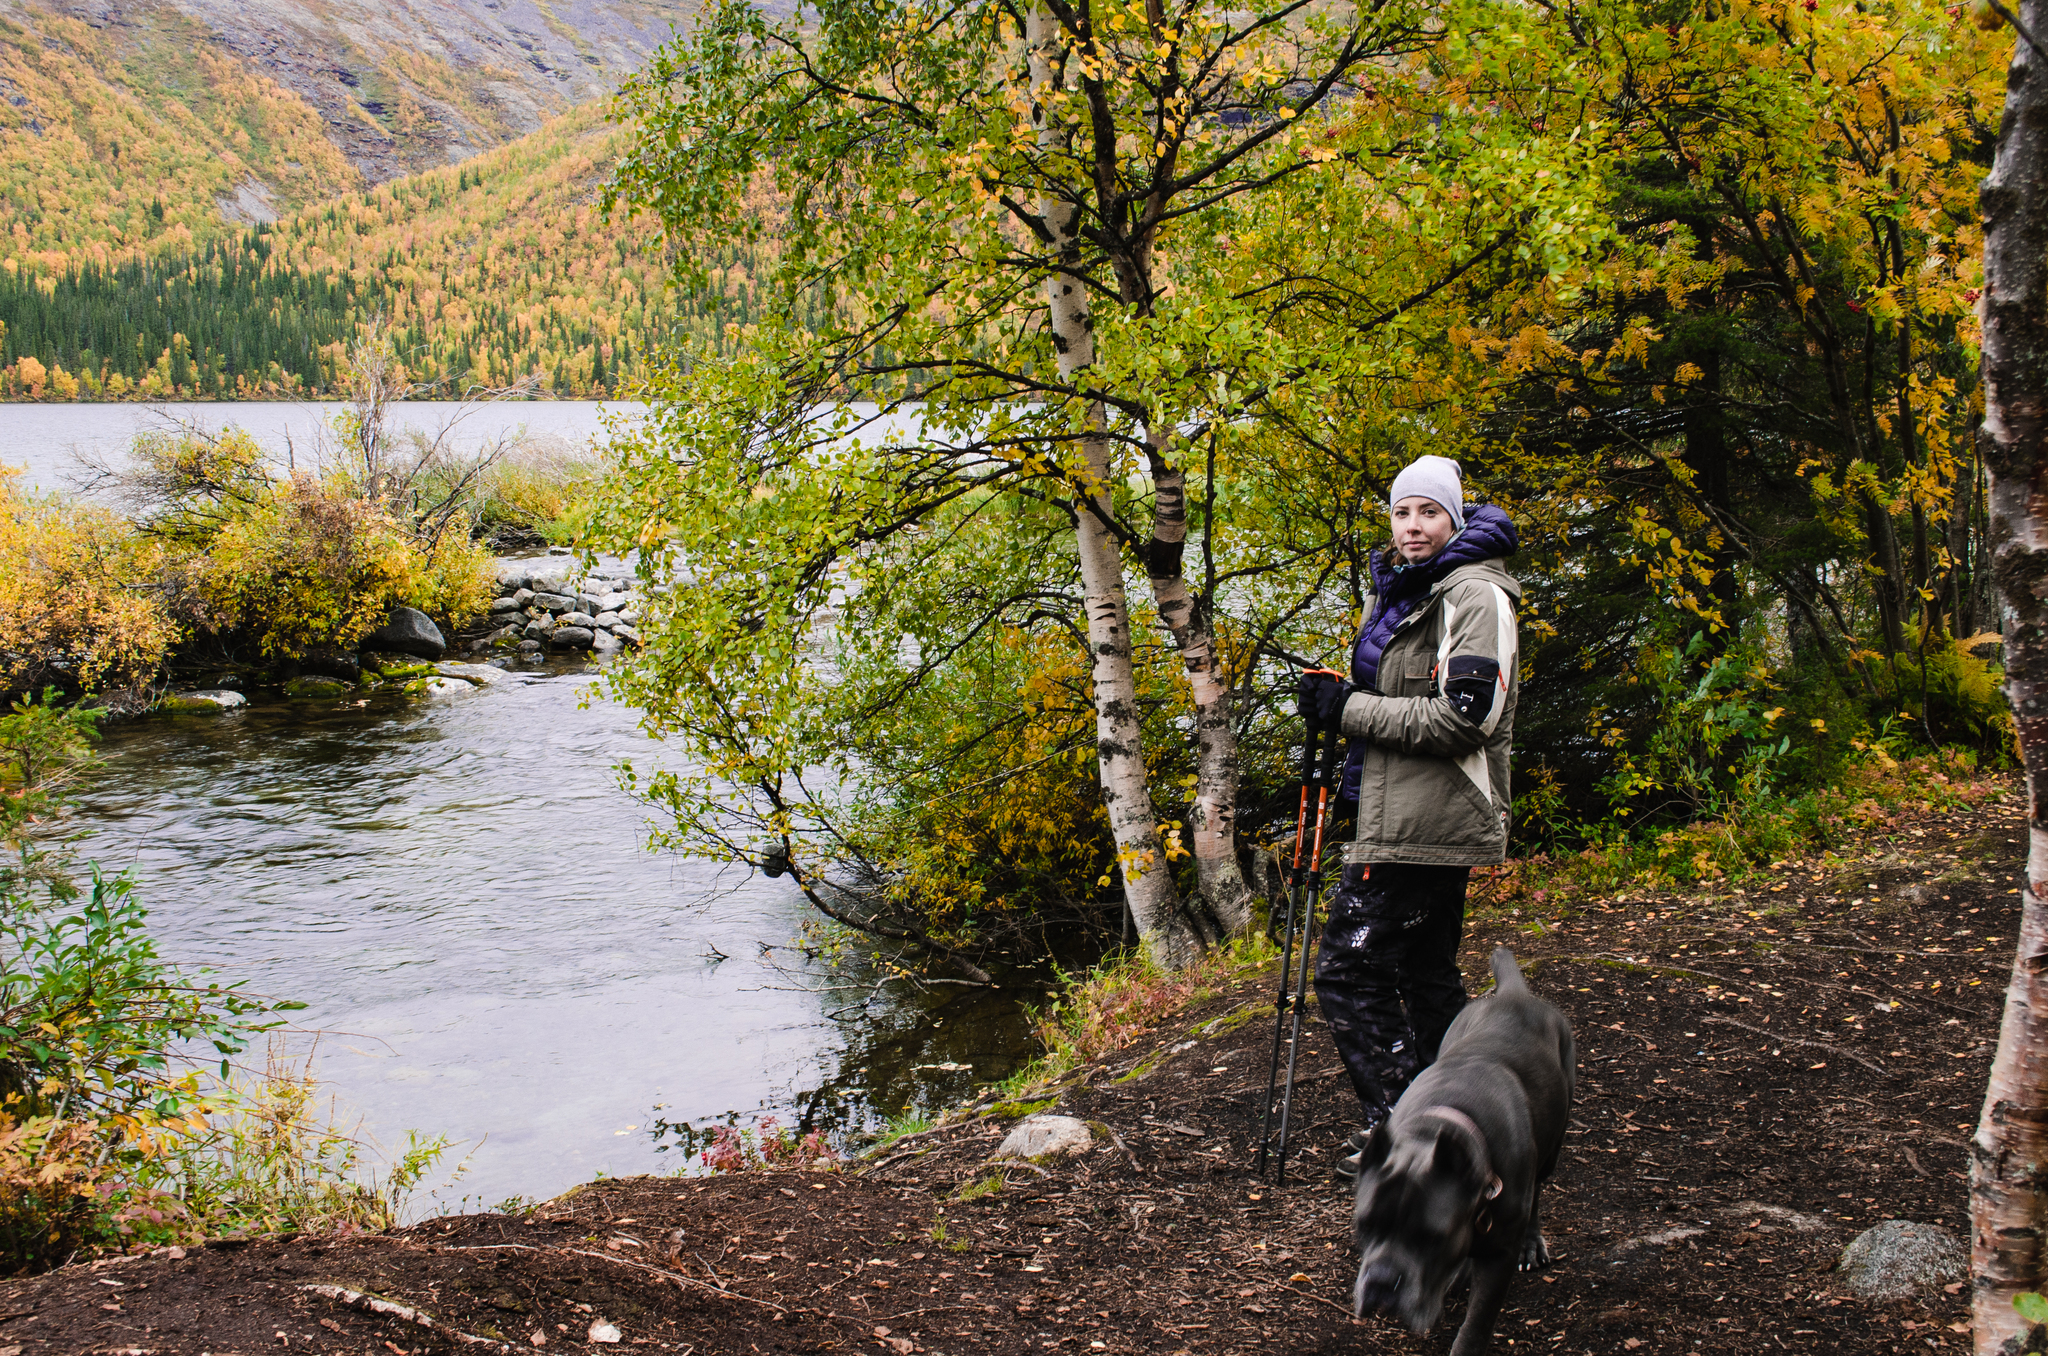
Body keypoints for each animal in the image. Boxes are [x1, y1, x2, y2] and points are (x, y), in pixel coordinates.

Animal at [1351, 946, 1572, 1356]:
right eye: (1366, 1225)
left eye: (1431, 1237)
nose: (1381, 1282)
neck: (1437, 1124)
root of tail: (1513, 994)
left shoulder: (1499, 1257)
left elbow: (1478, 1321)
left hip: (1551, 1147)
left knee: (1538, 1188)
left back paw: (1531, 1243)